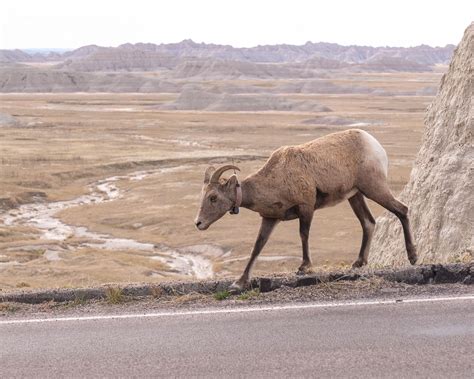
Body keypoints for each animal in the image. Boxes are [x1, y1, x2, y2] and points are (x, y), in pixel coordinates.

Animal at [194, 128, 416, 290]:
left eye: (213, 197)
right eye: (203, 195)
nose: (198, 223)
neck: (275, 178)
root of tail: (373, 144)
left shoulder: (306, 207)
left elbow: (303, 235)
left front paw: (304, 268)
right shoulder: (270, 218)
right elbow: (257, 247)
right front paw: (239, 283)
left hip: (373, 188)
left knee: (402, 209)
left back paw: (413, 257)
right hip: (356, 196)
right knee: (368, 222)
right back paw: (358, 262)